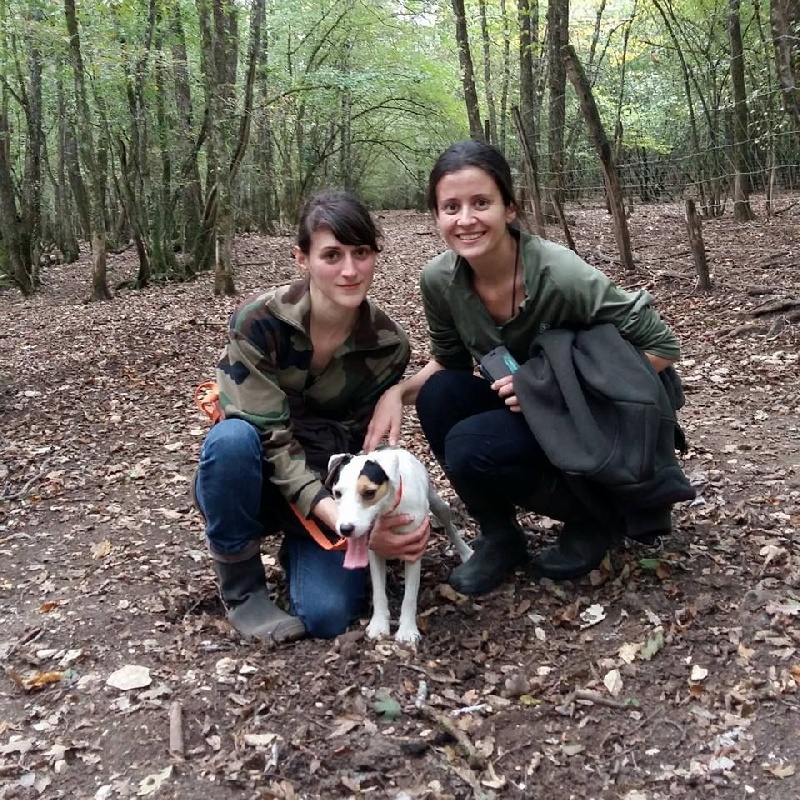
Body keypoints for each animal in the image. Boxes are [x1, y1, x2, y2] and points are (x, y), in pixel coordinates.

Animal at [326, 449, 473, 644]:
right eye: (337, 493)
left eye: (369, 493)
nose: (345, 529)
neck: (390, 510)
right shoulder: (374, 552)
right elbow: (379, 592)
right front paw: (379, 624)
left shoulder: (414, 547)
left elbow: (410, 595)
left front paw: (408, 630)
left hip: (438, 505)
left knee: (450, 525)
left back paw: (465, 552)